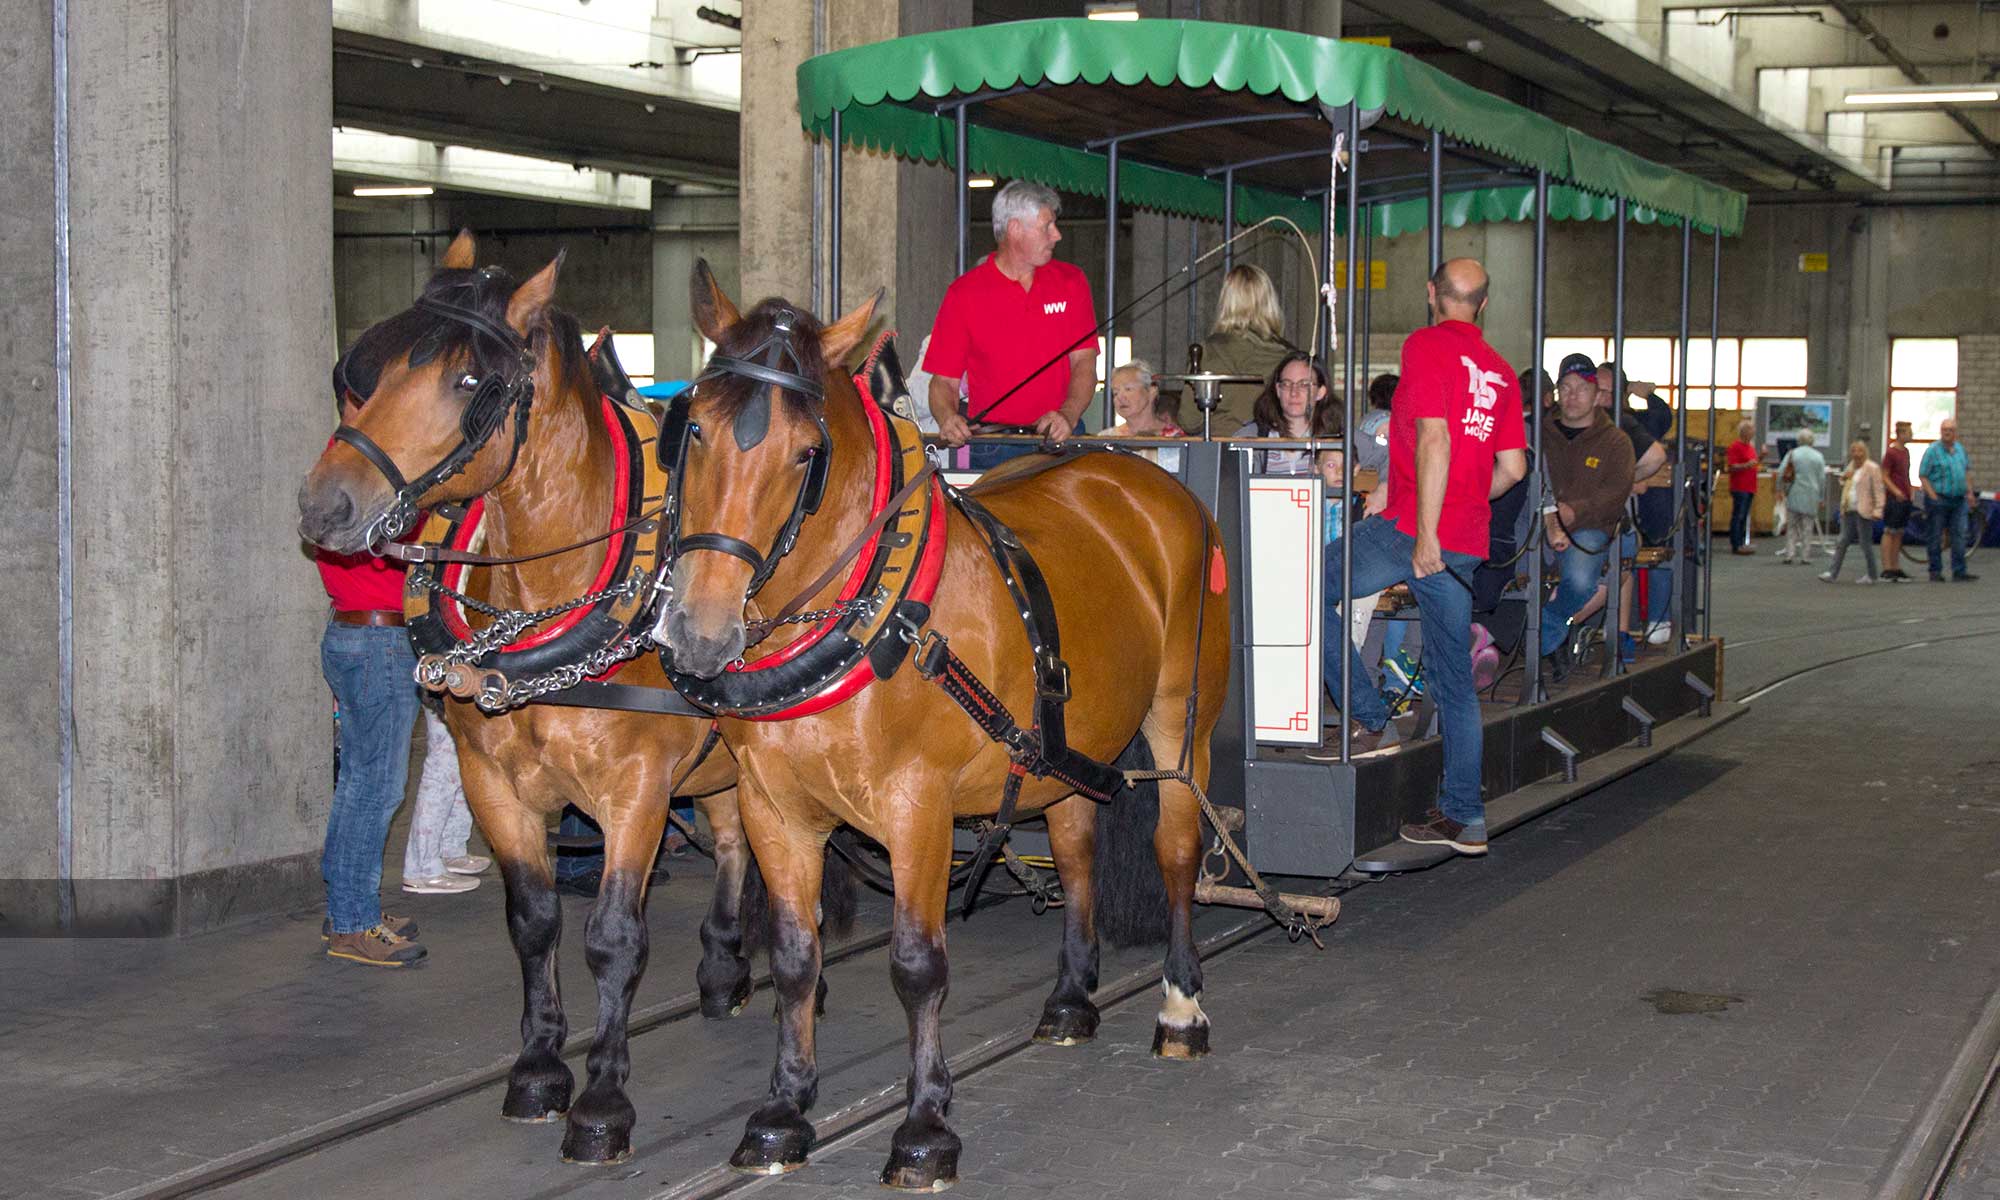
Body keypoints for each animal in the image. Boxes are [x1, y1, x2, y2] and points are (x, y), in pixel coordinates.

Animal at [292, 239, 832, 1168]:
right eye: (364, 369)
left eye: (470, 382)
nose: (326, 503)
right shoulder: (493, 782)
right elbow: (534, 920)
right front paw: (540, 1069)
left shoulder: (636, 792)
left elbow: (613, 938)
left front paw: (603, 1104)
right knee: (733, 841)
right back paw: (724, 968)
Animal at [656, 264, 1224, 1192]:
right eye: (692, 430)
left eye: (806, 454)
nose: (701, 633)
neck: (863, 613)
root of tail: (1142, 479)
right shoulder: (774, 811)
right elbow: (794, 958)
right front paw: (783, 1112)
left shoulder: (915, 811)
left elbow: (918, 966)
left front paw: (924, 1129)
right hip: (1065, 747)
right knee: (1076, 851)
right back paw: (1071, 999)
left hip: (1182, 720)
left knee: (1177, 845)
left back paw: (1180, 1006)